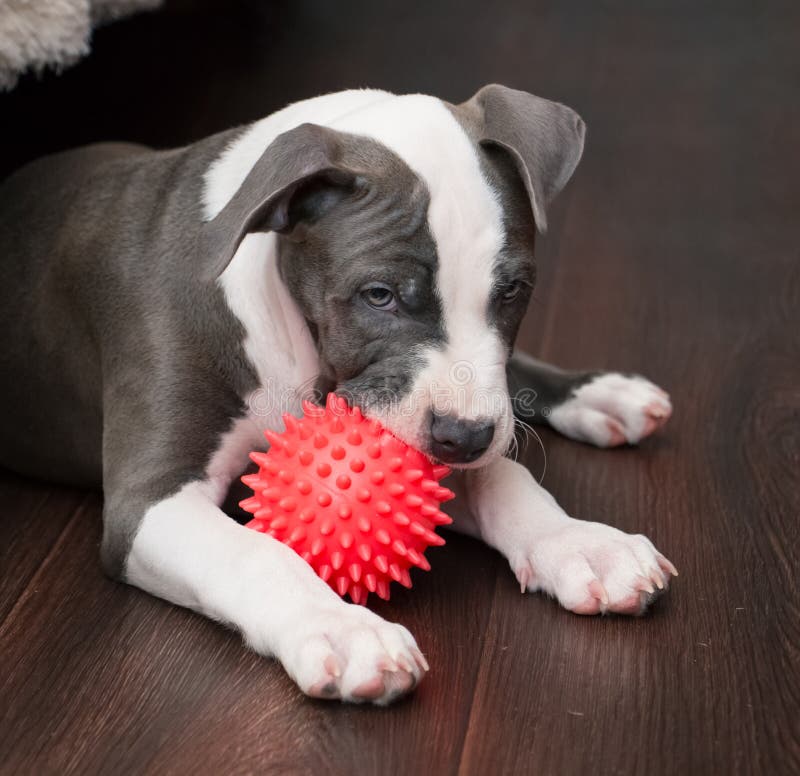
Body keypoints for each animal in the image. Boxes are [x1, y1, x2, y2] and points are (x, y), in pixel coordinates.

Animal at [0, 85, 676, 704]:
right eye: (378, 295)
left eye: (512, 291)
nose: (464, 439)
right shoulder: (149, 500)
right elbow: (256, 555)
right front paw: (342, 628)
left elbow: (502, 476)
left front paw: (581, 543)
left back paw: (600, 394)